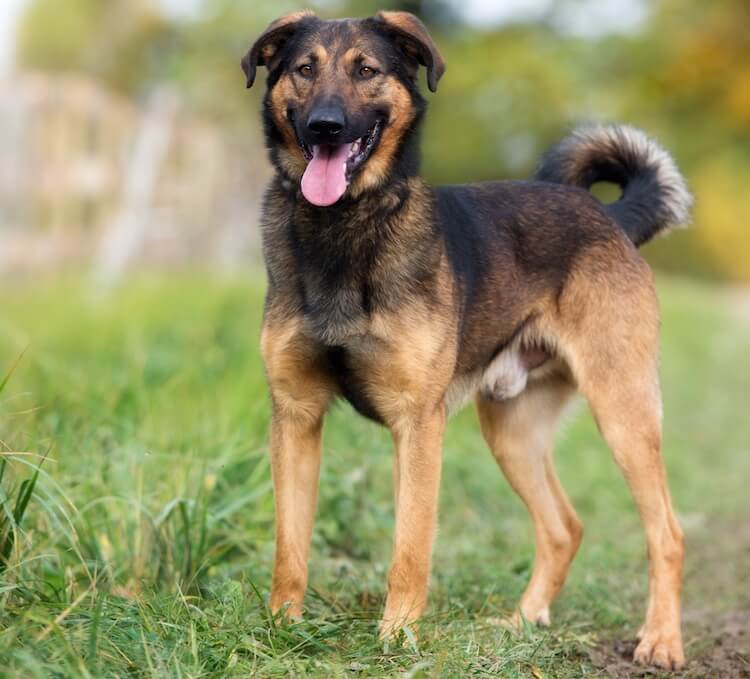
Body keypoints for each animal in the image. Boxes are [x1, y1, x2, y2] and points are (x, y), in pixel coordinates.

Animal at [244, 9, 696, 668]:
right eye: (304, 69)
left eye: (367, 70)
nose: (325, 126)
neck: (345, 226)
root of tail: (611, 218)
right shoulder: (296, 416)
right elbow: (290, 546)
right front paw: (282, 628)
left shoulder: (417, 426)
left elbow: (410, 550)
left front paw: (398, 638)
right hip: (512, 431)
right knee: (563, 528)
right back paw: (523, 623)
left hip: (624, 414)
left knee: (666, 532)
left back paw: (660, 639)